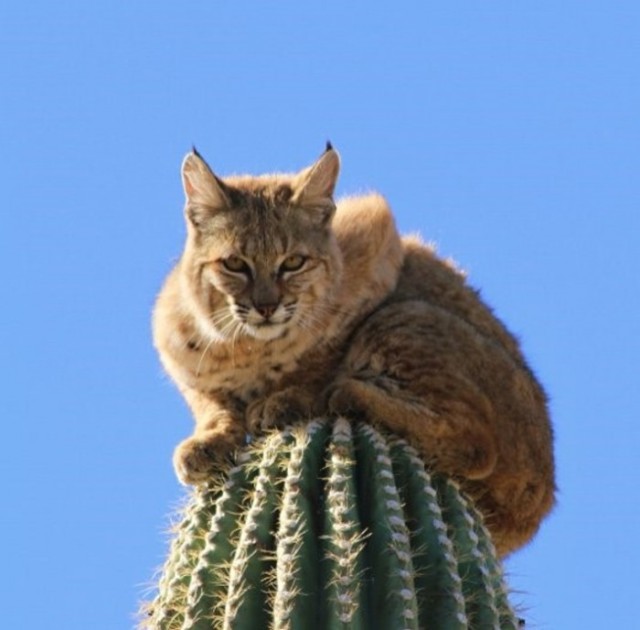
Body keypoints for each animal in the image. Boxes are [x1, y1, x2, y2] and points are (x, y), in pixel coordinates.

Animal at [154, 144, 556, 556]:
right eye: (234, 264)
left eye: (293, 262)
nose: (266, 307)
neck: (250, 344)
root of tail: (538, 504)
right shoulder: (173, 339)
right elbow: (206, 394)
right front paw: (211, 434)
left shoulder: (376, 236)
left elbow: (320, 355)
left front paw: (288, 396)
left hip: (404, 315)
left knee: (477, 445)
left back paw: (347, 393)